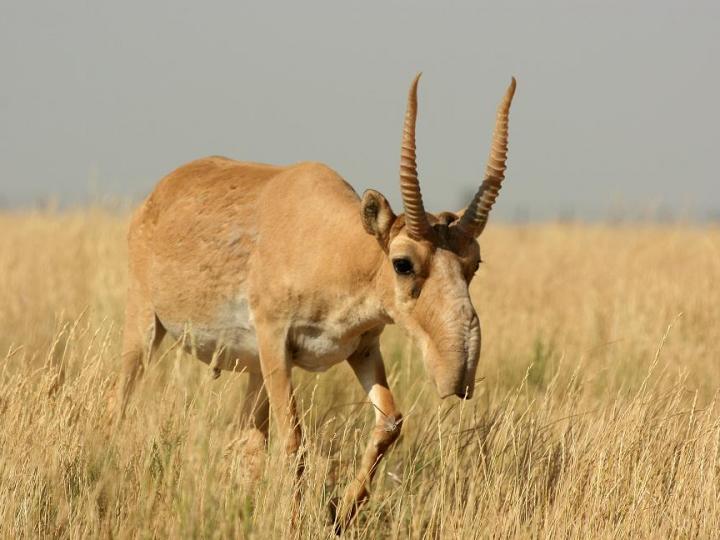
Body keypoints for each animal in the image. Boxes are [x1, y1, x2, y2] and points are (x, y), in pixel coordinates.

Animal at [121, 73, 516, 532]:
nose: (459, 373)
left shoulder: (362, 348)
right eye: (402, 263)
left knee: (247, 441)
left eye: (473, 262)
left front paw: (340, 515)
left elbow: (390, 422)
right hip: (146, 329)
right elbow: (294, 439)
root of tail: (159, 193)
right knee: (121, 402)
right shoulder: (276, 345)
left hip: (253, 371)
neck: (334, 246)